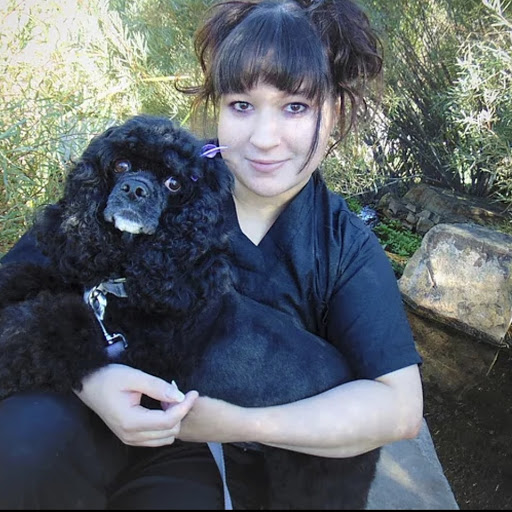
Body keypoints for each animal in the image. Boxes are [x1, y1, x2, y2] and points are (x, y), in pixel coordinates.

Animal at [1, 114, 380, 510]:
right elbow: (33, 275)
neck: (127, 276)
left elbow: (51, 327)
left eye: (173, 184)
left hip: (319, 479)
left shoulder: (126, 345)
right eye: (121, 165)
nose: (135, 189)